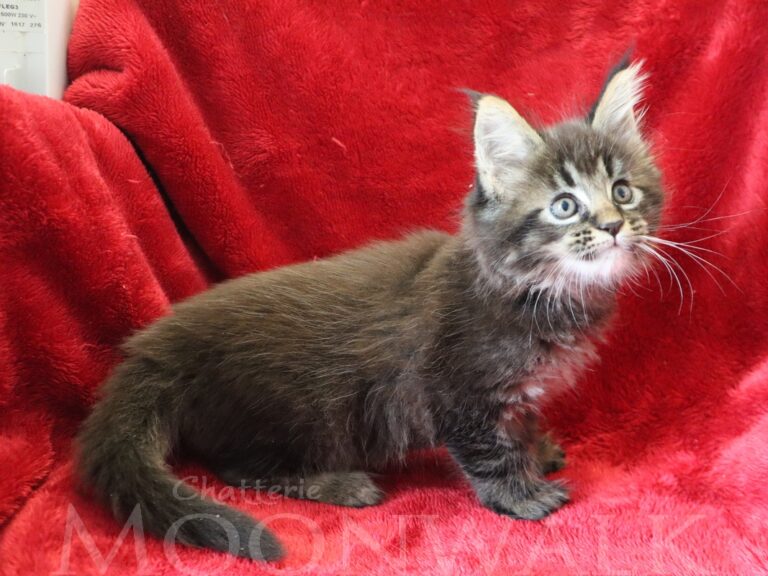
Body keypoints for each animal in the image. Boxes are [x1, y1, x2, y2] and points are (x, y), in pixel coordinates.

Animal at [76, 56, 663, 561]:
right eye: (565, 206)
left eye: (623, 191)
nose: (613, 225)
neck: (539, 291)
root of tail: (159, 346)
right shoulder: (457, 392)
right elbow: (489, 448)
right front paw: (523, 494)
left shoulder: (518, 391)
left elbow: (521, 420)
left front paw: (537, 451)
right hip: (299, 412)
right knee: (238, 467)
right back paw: (339, 483)